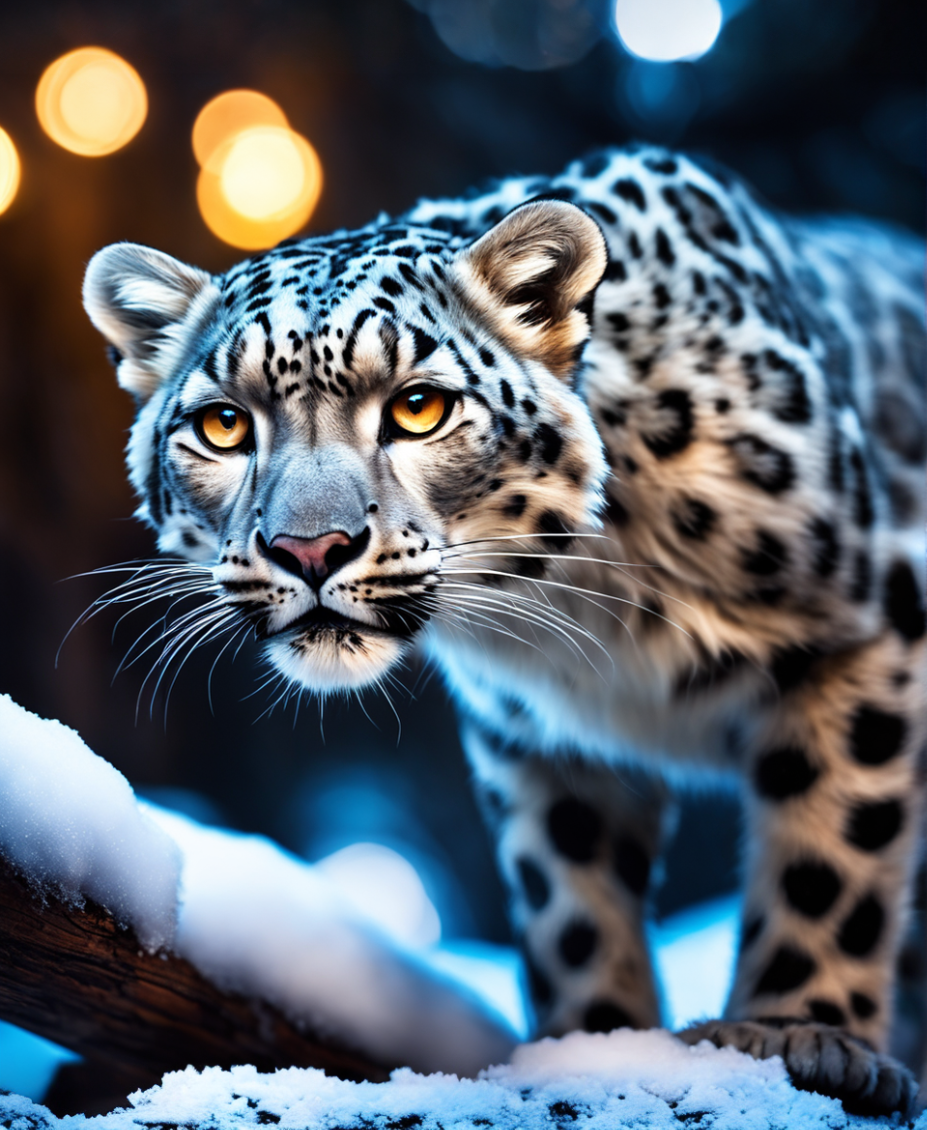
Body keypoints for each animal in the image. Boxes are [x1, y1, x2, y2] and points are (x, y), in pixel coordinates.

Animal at [83, 145, 922, 1116]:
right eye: (223, 424)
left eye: (418, 408)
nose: (309, 547)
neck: (589, 609)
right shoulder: (536, 736)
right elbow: (570, 903)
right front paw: (595, 1049)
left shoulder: (863, 629)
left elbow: (828, 855)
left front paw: (801, 1035)